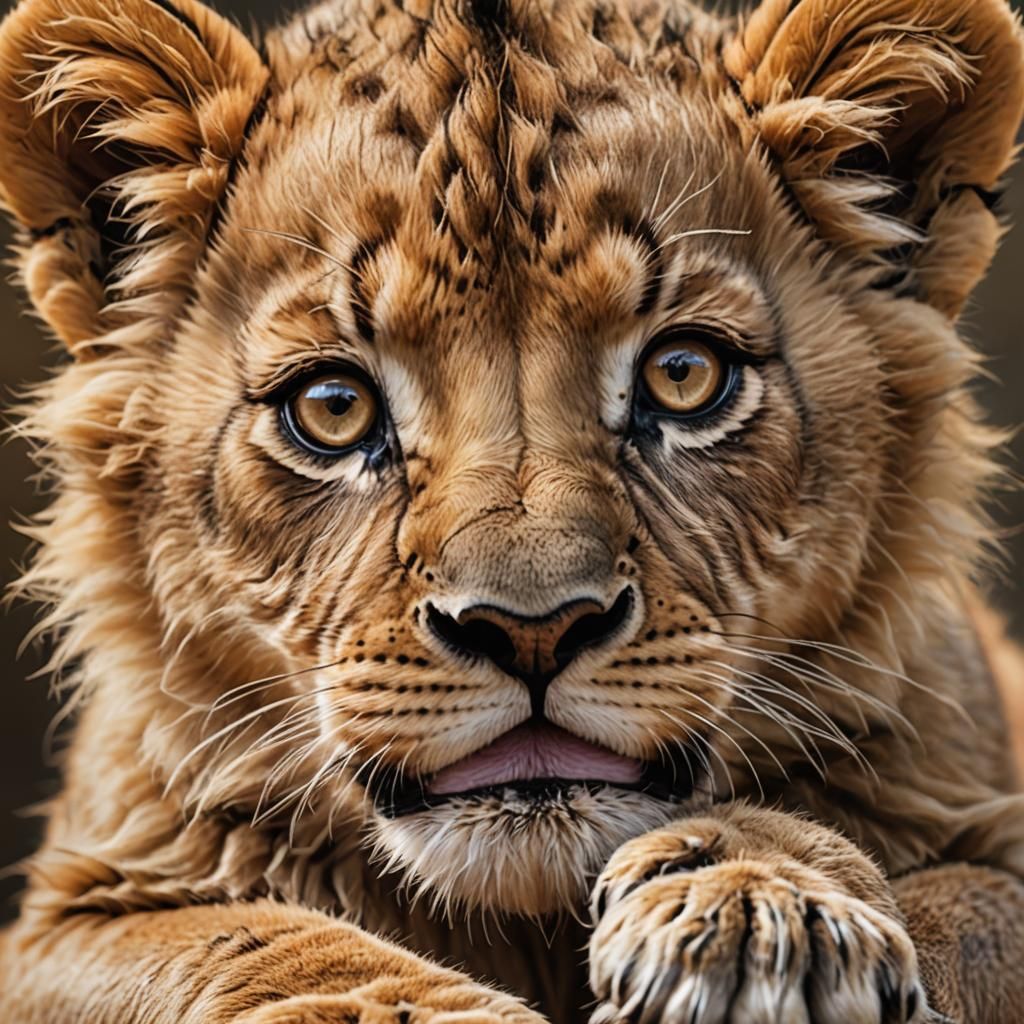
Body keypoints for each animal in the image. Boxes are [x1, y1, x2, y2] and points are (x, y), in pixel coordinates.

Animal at [1, 0, 1023, 1020]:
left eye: (684, 374)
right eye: (333, 407)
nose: (534, 632)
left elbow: (968, 903)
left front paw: (761, 905)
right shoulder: (69, 912)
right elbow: (245, 944)